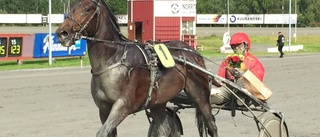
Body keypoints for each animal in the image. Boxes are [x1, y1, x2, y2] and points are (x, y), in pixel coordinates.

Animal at [55, 0, 218, 136]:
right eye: (71, 8)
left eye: (87, 9)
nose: (62, 33)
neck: (113, 59)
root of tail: (192, 51)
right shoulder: (103, 109)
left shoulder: (122, 106)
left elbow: (102, 132)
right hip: (159, 102)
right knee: (163, 129)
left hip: (200, 93)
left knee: (211, 124)